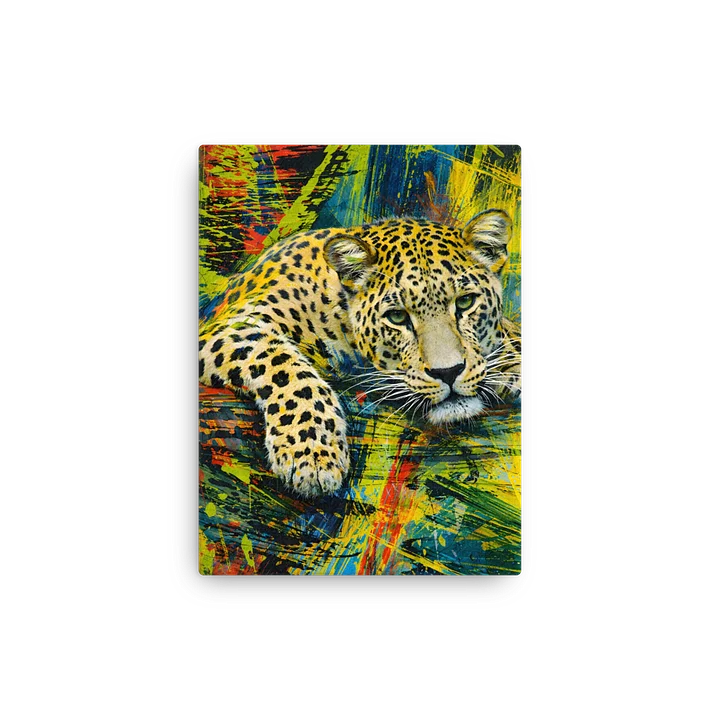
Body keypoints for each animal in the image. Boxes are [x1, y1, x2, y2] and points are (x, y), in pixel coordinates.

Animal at [199, 209, 522, 498]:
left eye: (466, 302)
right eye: (397, 317)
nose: (449, 372)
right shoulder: (231, 325)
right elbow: (285, 366)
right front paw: (312, 452)